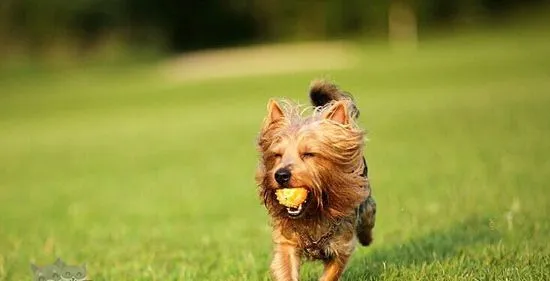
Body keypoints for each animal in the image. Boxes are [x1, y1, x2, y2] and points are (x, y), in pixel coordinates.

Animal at [256, 79, 378, 280]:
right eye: (277, 155)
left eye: (308, 154)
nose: (281, 175)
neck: (314, 210)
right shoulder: (286, 243)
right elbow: (286, 269)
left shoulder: (342, 245)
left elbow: (331, 272)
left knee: (368, 216)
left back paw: (367, 237)